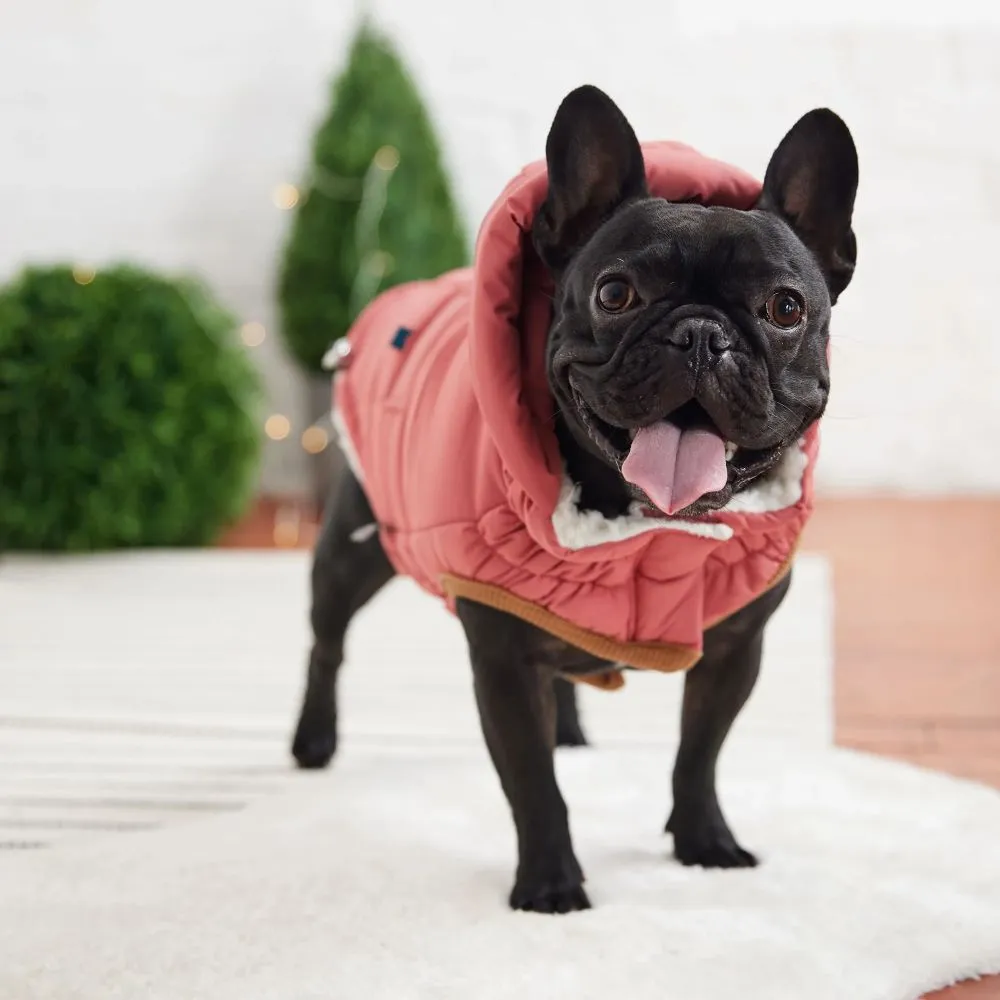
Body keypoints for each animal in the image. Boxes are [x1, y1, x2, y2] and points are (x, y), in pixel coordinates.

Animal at [292, 86, 860, 916]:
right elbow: (533, 783)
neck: (648, 531)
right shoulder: (501, 661)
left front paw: (704, 844)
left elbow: (699, 754)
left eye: (785, 308)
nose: (701, 335)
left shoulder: (733, 651)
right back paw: (313, 741)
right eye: (615, 293)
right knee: (327, 644)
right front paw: (550, 885)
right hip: (358, 548)